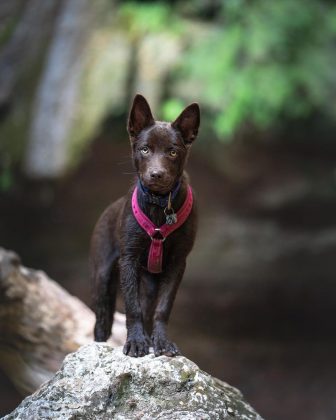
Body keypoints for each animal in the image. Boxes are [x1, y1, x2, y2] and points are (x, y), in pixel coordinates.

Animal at [90, 94, 200, 358]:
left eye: (172, 152)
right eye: (145, 149)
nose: (156, 174)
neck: (160, 205)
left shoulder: (178, 263)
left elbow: (163, 308)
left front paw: (161, 343)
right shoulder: (128, 260)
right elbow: (132, 307)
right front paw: (136, 343)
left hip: (149, 282)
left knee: (149, 309)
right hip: (103, 277)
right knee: (102, 322)